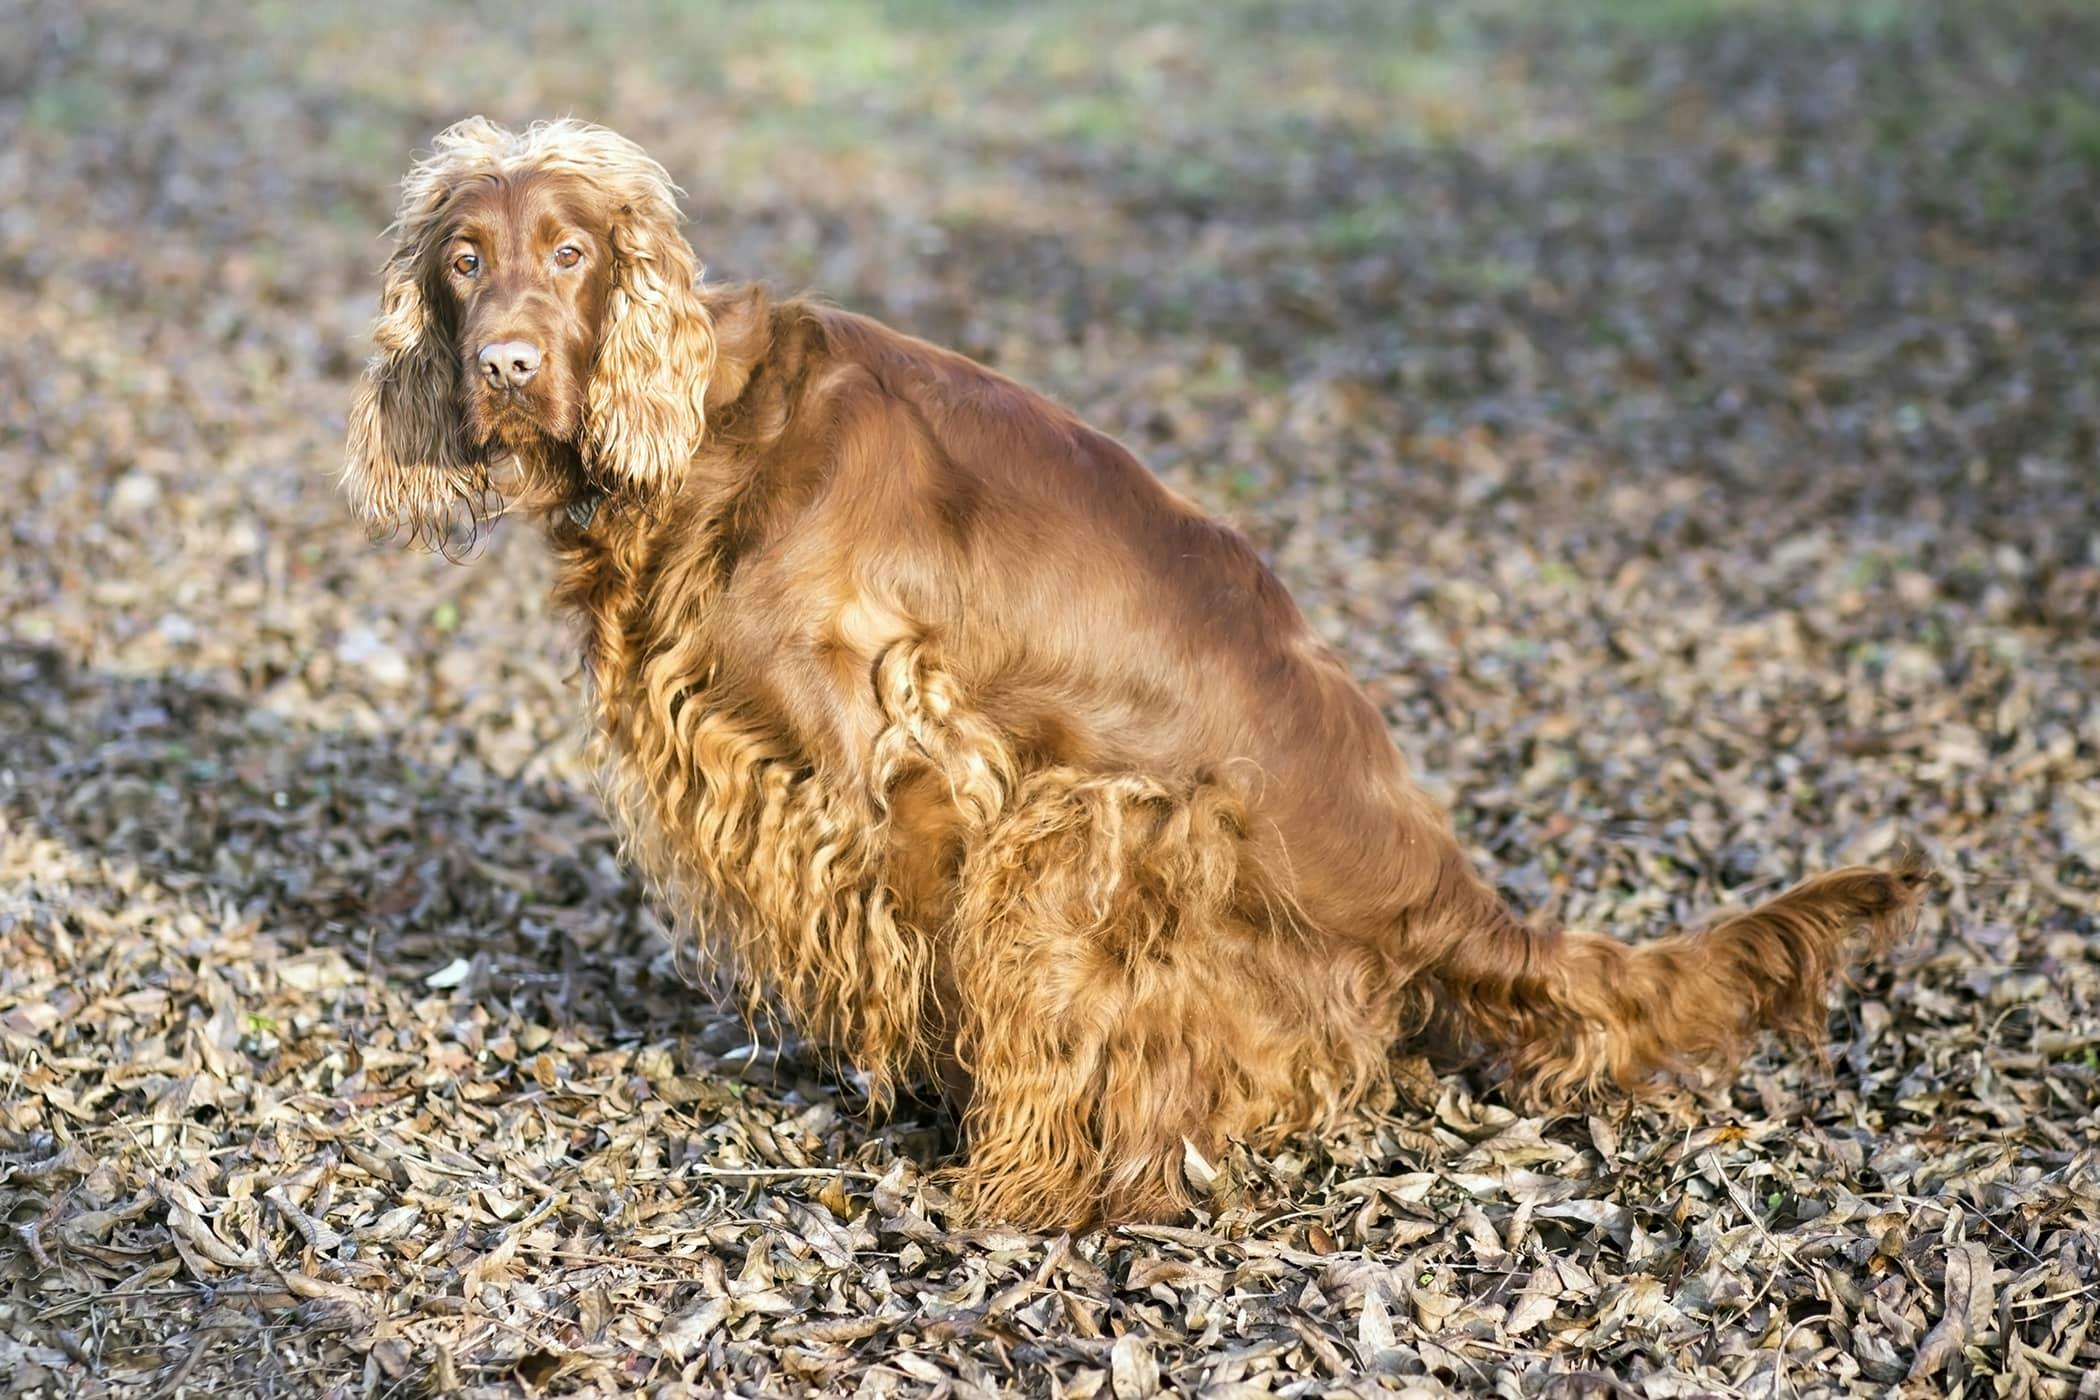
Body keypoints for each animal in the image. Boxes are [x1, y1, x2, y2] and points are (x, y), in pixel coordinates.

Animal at [336, 120, 1923, 1234]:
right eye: (465, 258)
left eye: (573, 255)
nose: (507, 366)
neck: (710, 427)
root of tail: (1440, 890)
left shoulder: (905, 745)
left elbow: (929, 943)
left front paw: (948, 1108)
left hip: (1103, 824)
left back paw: (1033, 1184)